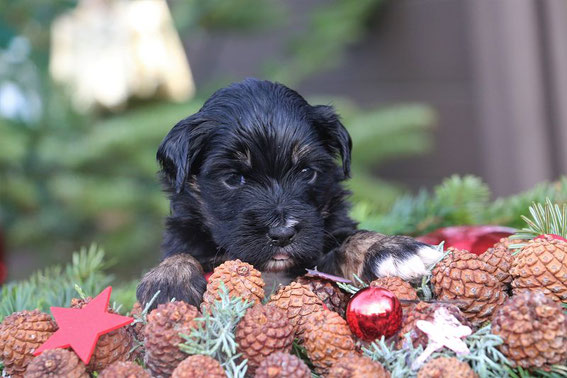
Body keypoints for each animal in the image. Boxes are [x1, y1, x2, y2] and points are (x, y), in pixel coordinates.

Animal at [136, 79, 440, 308]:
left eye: (306, 172)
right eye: (233, 178)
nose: (282, 234)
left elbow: (353, 237)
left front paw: (393, 249)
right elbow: (180, 252)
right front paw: (169, 280)